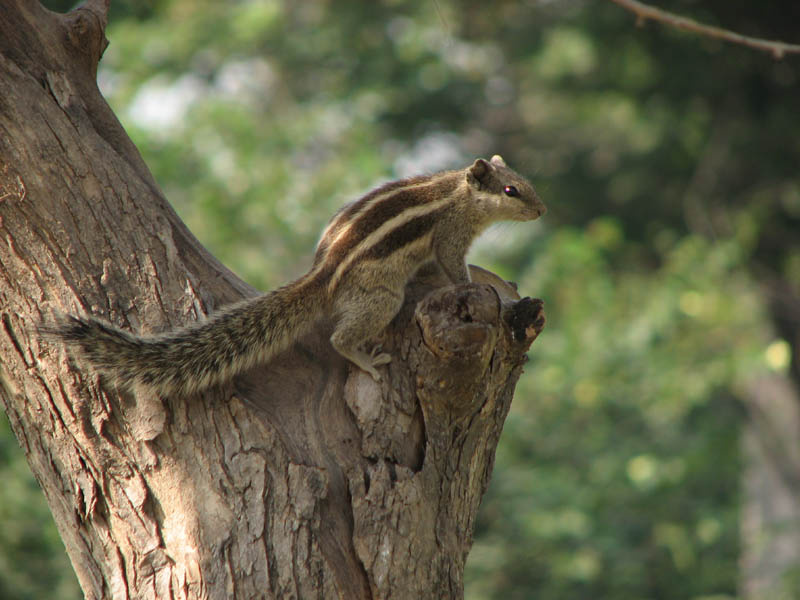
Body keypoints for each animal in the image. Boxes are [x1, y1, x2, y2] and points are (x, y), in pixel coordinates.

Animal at [46, 155, 545, 396]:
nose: (542, 210)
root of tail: (322, 276)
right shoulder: (449, 237)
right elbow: (453, 265)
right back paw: (367, 360)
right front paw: (472, 281)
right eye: (510, 190)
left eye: (524, 182)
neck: (460, 194)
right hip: (380, 297)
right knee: (341, 338)